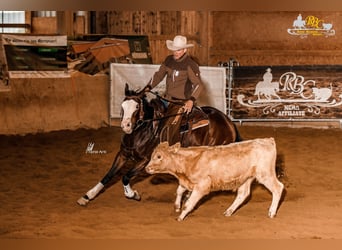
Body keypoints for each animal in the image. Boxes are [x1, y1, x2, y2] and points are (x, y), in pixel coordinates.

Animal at [77, 83, 243, 206]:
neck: (144, 130)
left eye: (137, 107)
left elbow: (125, 176)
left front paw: (133, 194)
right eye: (123, 105)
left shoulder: (145, 161)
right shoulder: (123, 154)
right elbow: (109, 175)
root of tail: (228, 122)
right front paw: (88, 195)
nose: (126, 126)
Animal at [146, 139, 284, 221]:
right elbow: (179, 190)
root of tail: (267, 141)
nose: (147, 168)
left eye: (159, 156)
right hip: (246, 177)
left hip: (265, 174)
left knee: (278, 188)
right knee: (243, 194)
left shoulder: (202, 186)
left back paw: (272, 212)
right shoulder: (188, 182)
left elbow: (188, 204)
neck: (189, 161)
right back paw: (229, 211)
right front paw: (176, 206)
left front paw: (180, 217)